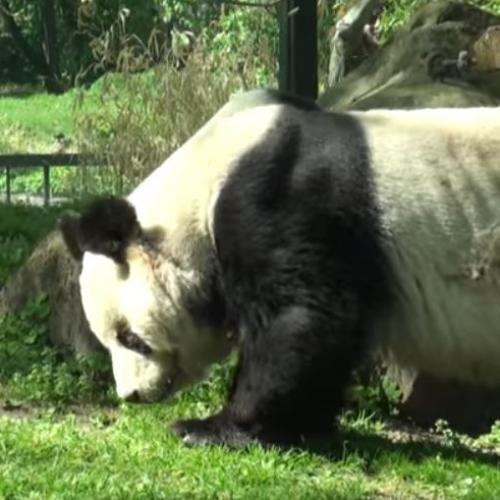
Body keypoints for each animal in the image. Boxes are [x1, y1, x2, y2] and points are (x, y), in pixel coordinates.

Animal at [60, 89, 500, 446]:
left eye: (130, 337)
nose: (132, 395)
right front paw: (305, 423)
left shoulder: (282, 201)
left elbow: (302, 315)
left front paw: (211, 428)